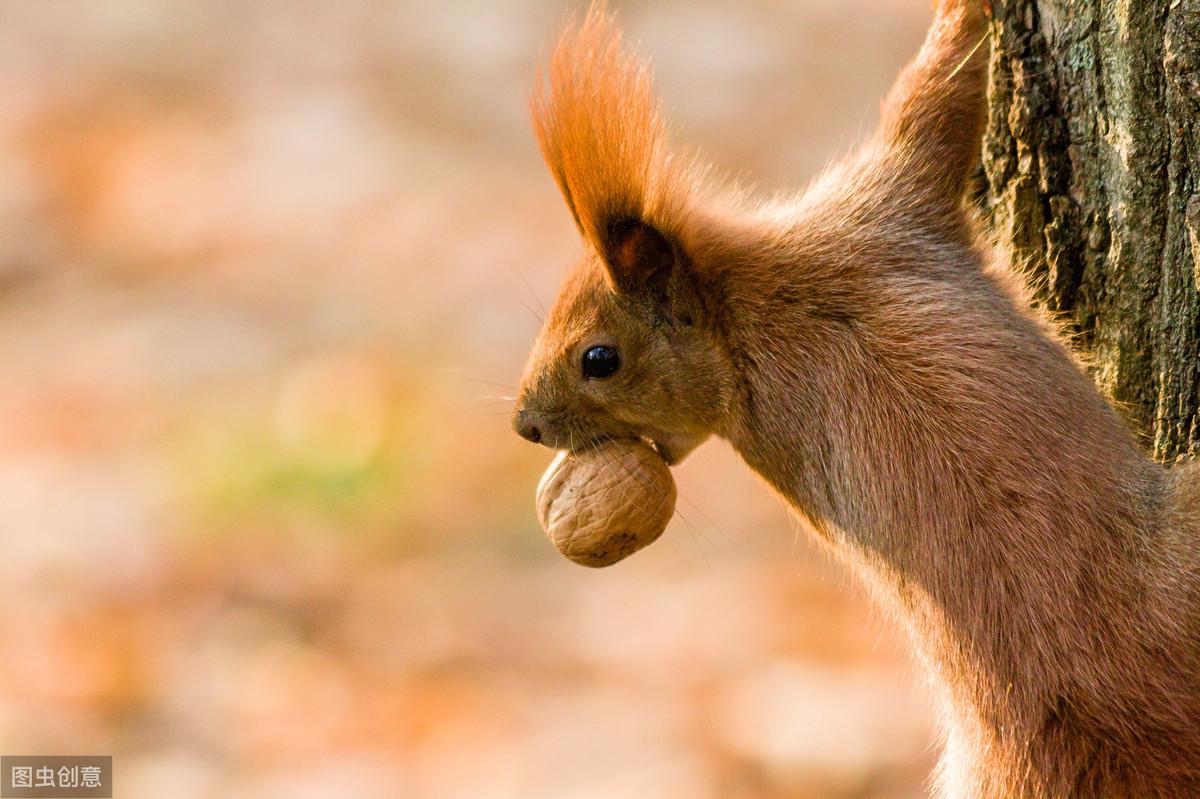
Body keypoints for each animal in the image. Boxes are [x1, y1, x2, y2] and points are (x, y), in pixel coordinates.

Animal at [508, 3, 1200, 791]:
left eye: (598, 358)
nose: (526, 424)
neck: (749, 328)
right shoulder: (882, 213)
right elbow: (934, 102)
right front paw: (967, 15)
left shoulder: (871, 220)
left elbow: (936, 102)